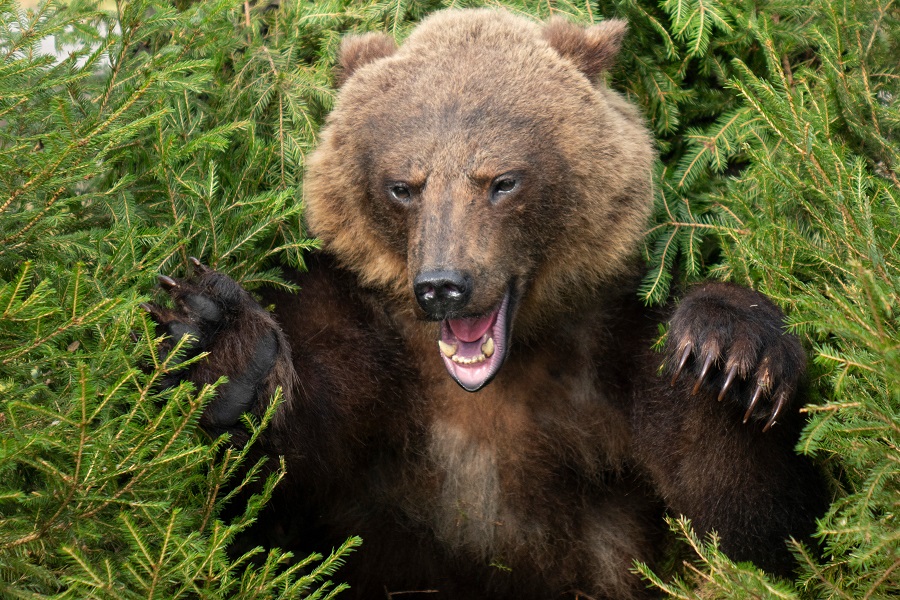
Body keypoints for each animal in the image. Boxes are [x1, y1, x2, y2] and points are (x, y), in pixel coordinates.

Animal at [145, 8, 827, 599]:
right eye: (403, 185)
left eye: (502, 181)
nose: (443, 284)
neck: (491, 384)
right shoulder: (366, 355)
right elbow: (266, 496)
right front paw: (214, 339)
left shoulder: (609, 354)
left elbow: (749, 523)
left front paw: (729, 354)